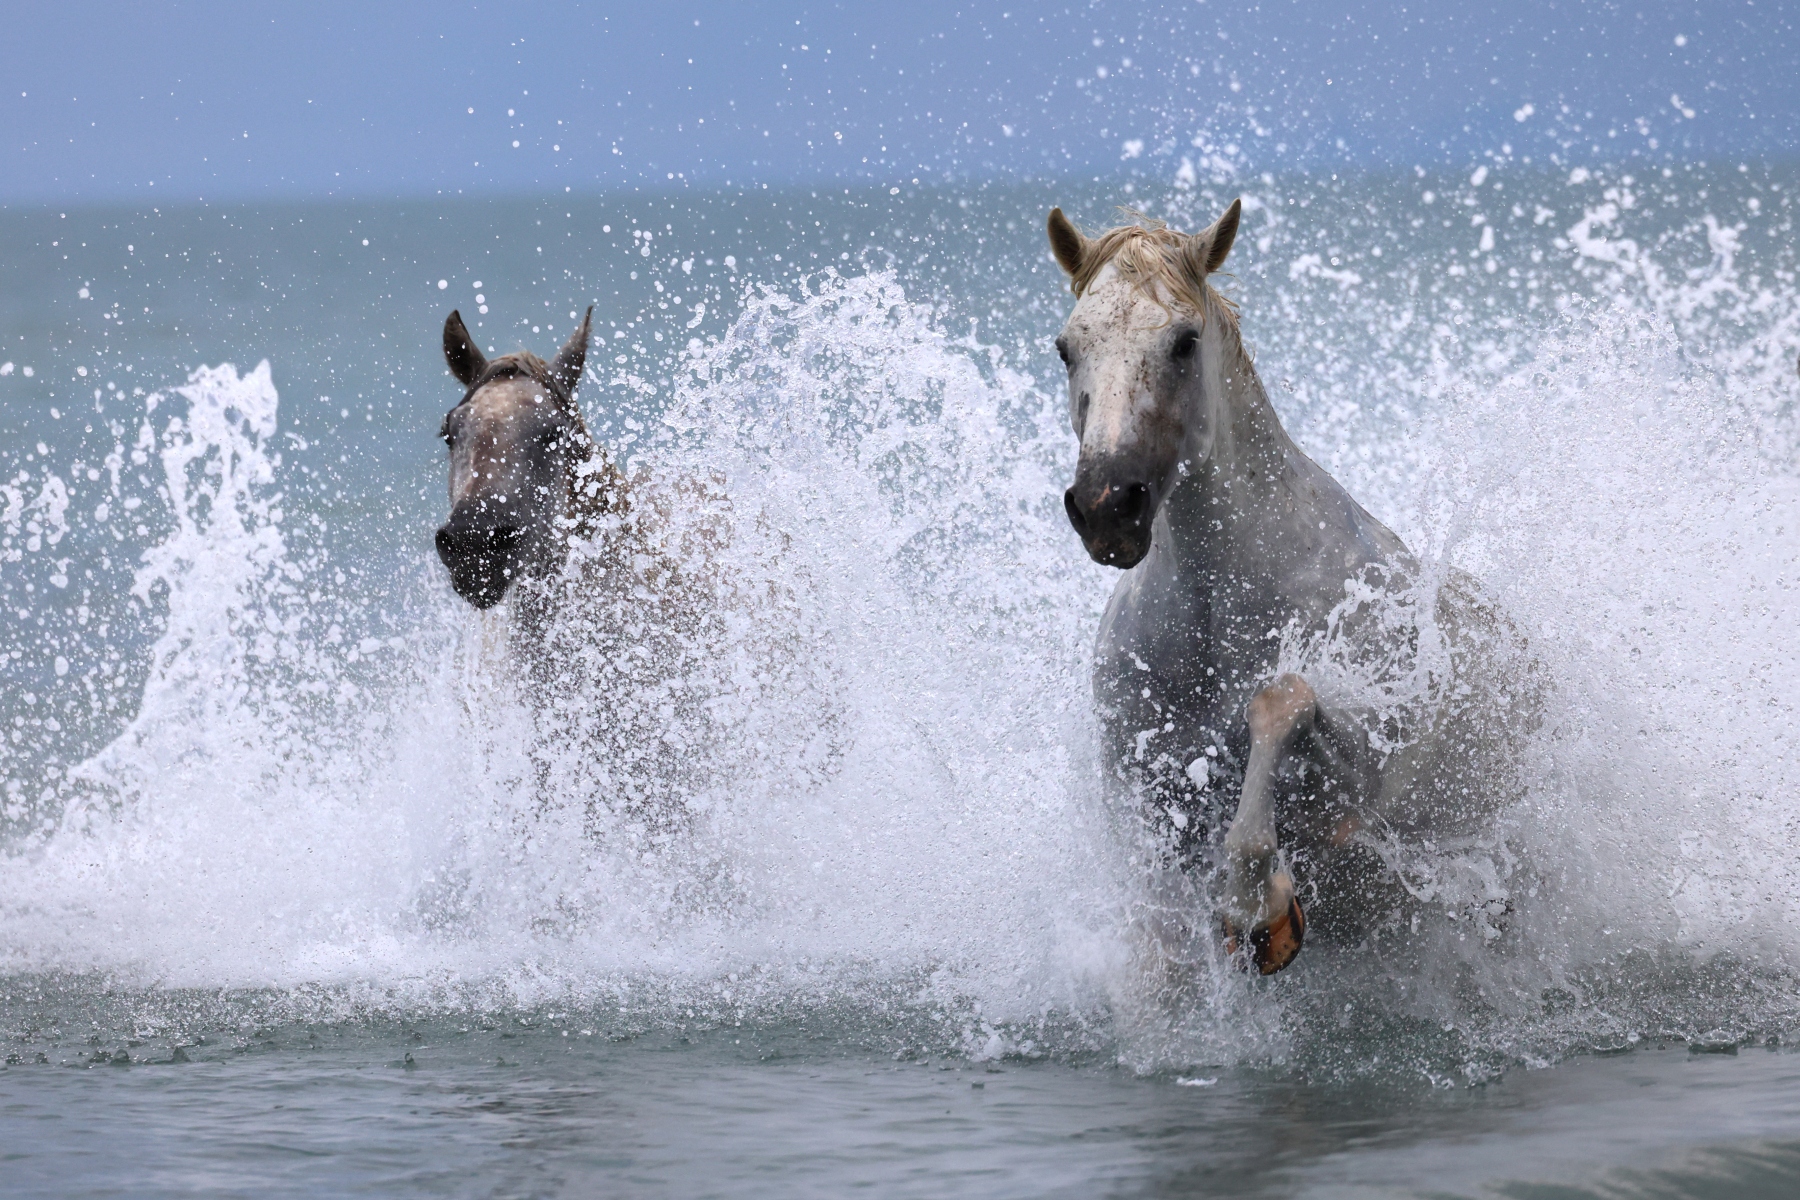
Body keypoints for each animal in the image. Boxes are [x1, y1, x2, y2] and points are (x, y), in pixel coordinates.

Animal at [1046, 200, 1537, 975]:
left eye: (1185, 342)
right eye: (1067, 348)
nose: (1106, 507)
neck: (1219, 610)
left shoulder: (1360, 775)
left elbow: (1282, 703)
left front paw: (1260, 908)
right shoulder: (1144, 808)